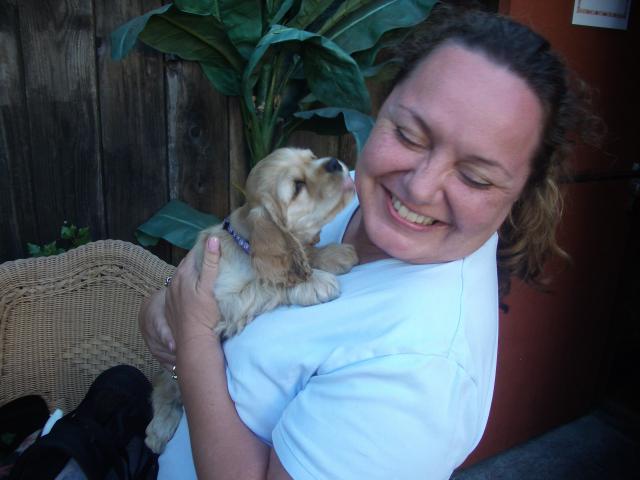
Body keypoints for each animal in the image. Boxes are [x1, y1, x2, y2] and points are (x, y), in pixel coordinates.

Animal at [145, 147, 358, 453]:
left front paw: (334, 255)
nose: (333, 163)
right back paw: (159, 428)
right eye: (298, 186)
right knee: (164, 387)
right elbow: (269, 284)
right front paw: (316, 283)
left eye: (311, 156)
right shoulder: (225, 302)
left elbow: (301, 254)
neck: (243, 242)